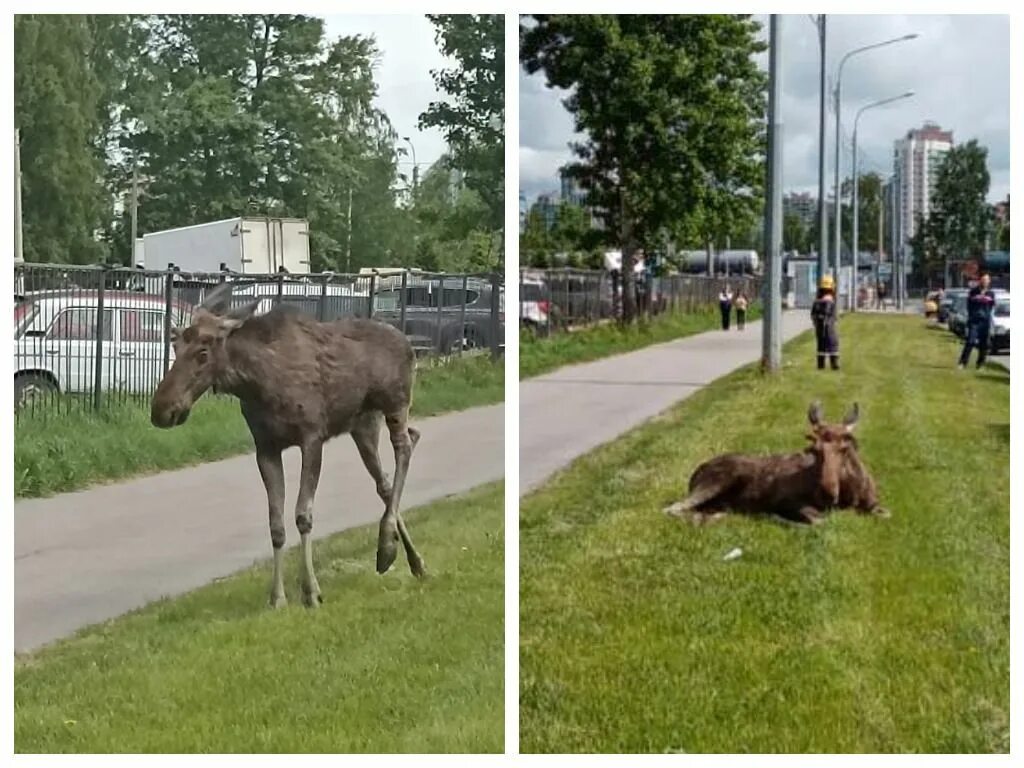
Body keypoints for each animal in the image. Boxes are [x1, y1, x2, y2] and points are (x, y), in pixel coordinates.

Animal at [151, 280, 423, 610]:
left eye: (203, 352)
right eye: (176, 346)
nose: (161, 410)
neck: (255, 384)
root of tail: (409, 344)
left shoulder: (312, 438)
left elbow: (303, 516)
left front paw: (311, 591)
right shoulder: (266, 448)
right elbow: (276, 525)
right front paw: (277, 597)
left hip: (395, 403)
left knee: (406, 445)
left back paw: (386, 545)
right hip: (363, 425)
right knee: (384, 481)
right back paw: (411, 559)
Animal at [663, 399, 888, 528]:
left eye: (845, 448)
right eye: (814, 450)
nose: (827, 493)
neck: (851, 493)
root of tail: (696, 472)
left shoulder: (875, 505)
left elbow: (884, 513)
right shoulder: (787, 500)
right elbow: (820, 520)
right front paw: (776, 517)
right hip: (716, 482)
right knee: (672, 509)